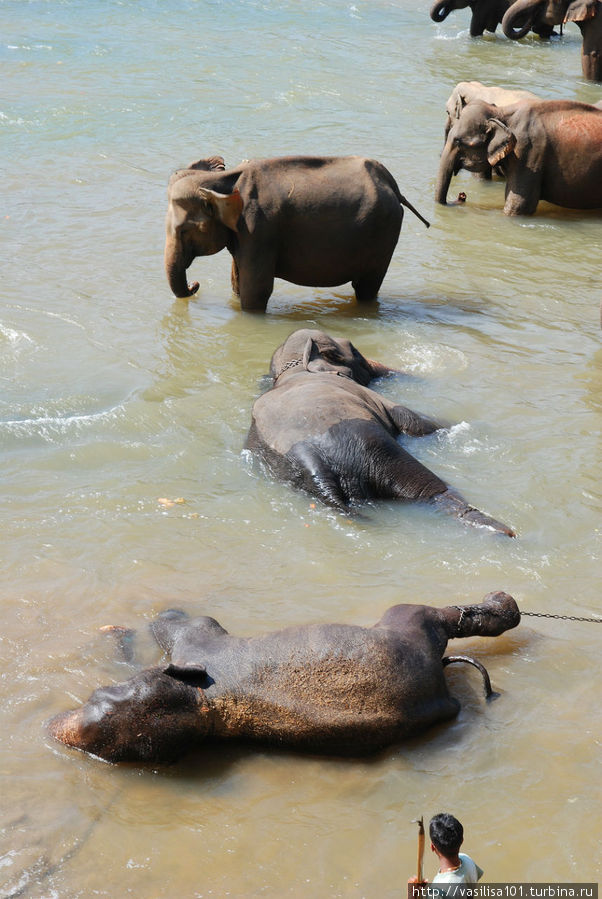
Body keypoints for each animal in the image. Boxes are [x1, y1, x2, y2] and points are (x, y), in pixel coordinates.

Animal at [49, 596, 520, 764]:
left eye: (97, 696)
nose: (54, 726)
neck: (208, 708)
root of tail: (442, 686)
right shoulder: (199, 644)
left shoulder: (198, 645)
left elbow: (175, 623)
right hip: (407, 631)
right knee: (430, 613)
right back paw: (505, 606)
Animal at [162, 158, 428, 316]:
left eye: (183, 230)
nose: (195, 284)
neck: (224, 181)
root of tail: (393, 186)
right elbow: (237, 282)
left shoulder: (259, 230)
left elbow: (255, 290)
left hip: (384, 234)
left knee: (366, 287)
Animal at [241, 328, 512, 536]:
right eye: (355, 352)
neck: (293, 371)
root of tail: (313, 462)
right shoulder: (369, 396)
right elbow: (414, 421)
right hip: (375, 448)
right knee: (429, 492)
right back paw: (501, 530)